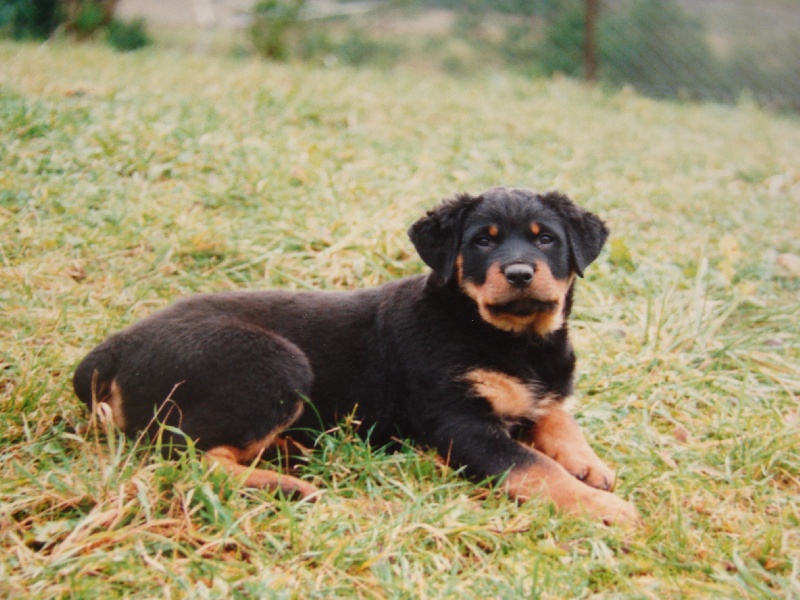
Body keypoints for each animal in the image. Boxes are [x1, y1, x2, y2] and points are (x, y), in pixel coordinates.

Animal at [73, 188, 636, 524]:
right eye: (481, 241)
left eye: (547, 240)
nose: (519, 273)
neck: (513, 338)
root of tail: (114, 347)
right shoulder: (460, 423)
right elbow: (533, 467)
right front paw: (606, 508)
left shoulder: (545, 388)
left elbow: (559, 420)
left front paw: (591, 467)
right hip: (275, 365)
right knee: (185, 454)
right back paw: (285, 484)